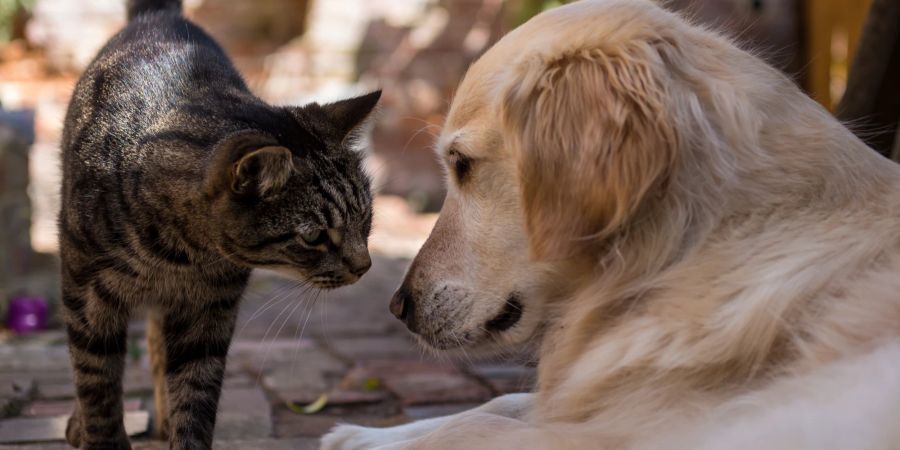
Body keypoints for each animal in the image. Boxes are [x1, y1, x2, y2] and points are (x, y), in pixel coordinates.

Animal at [56, 1, 380, 448]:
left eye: (365, 218)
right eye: (314, 236)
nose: (364, 266)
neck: (178, 253)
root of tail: (161, 17)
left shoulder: (209, 313)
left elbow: (194, 395)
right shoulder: (87, 294)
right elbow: (96, 381)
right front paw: (101, 437)